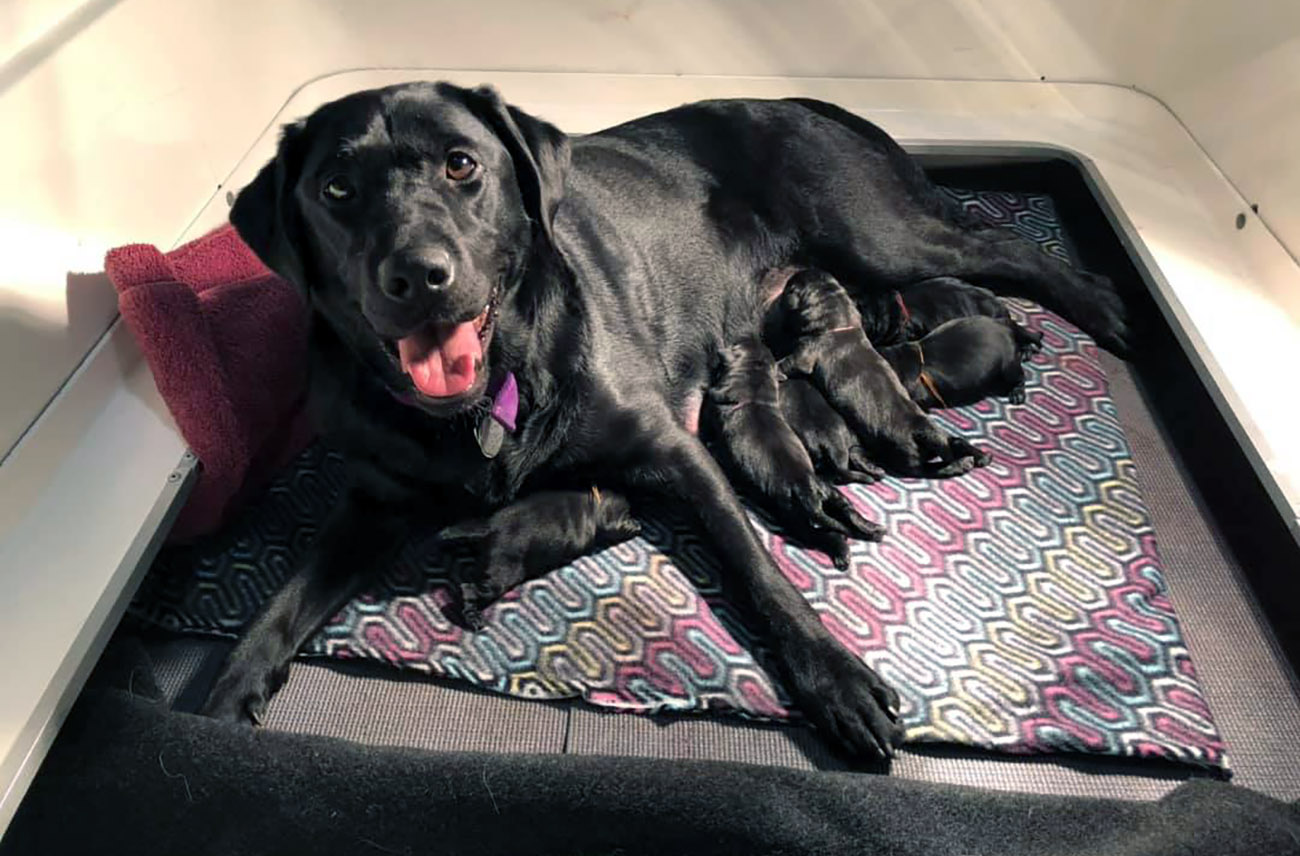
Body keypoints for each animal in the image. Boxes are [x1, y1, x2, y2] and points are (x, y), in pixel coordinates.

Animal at [439, 486, 642, 627]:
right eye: (627, 514)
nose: (637, 522)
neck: (593, 504)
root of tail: (491, 527)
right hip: (501, 577)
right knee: (469, 589)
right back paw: (473, 617)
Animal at [707, 335, 889, 567]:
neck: (753, 385)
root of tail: (809, 493)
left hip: (796, 519)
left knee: (827, 535)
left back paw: (842, 552)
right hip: (831, 492)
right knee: (848, 510)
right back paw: (873, 528)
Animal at [769, 267, 982, 473]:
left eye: (789, 287)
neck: (840, 322)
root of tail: (920, 429)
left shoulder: (806, 353)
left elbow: (788, 362)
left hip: (903, 454)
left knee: (924, 469)